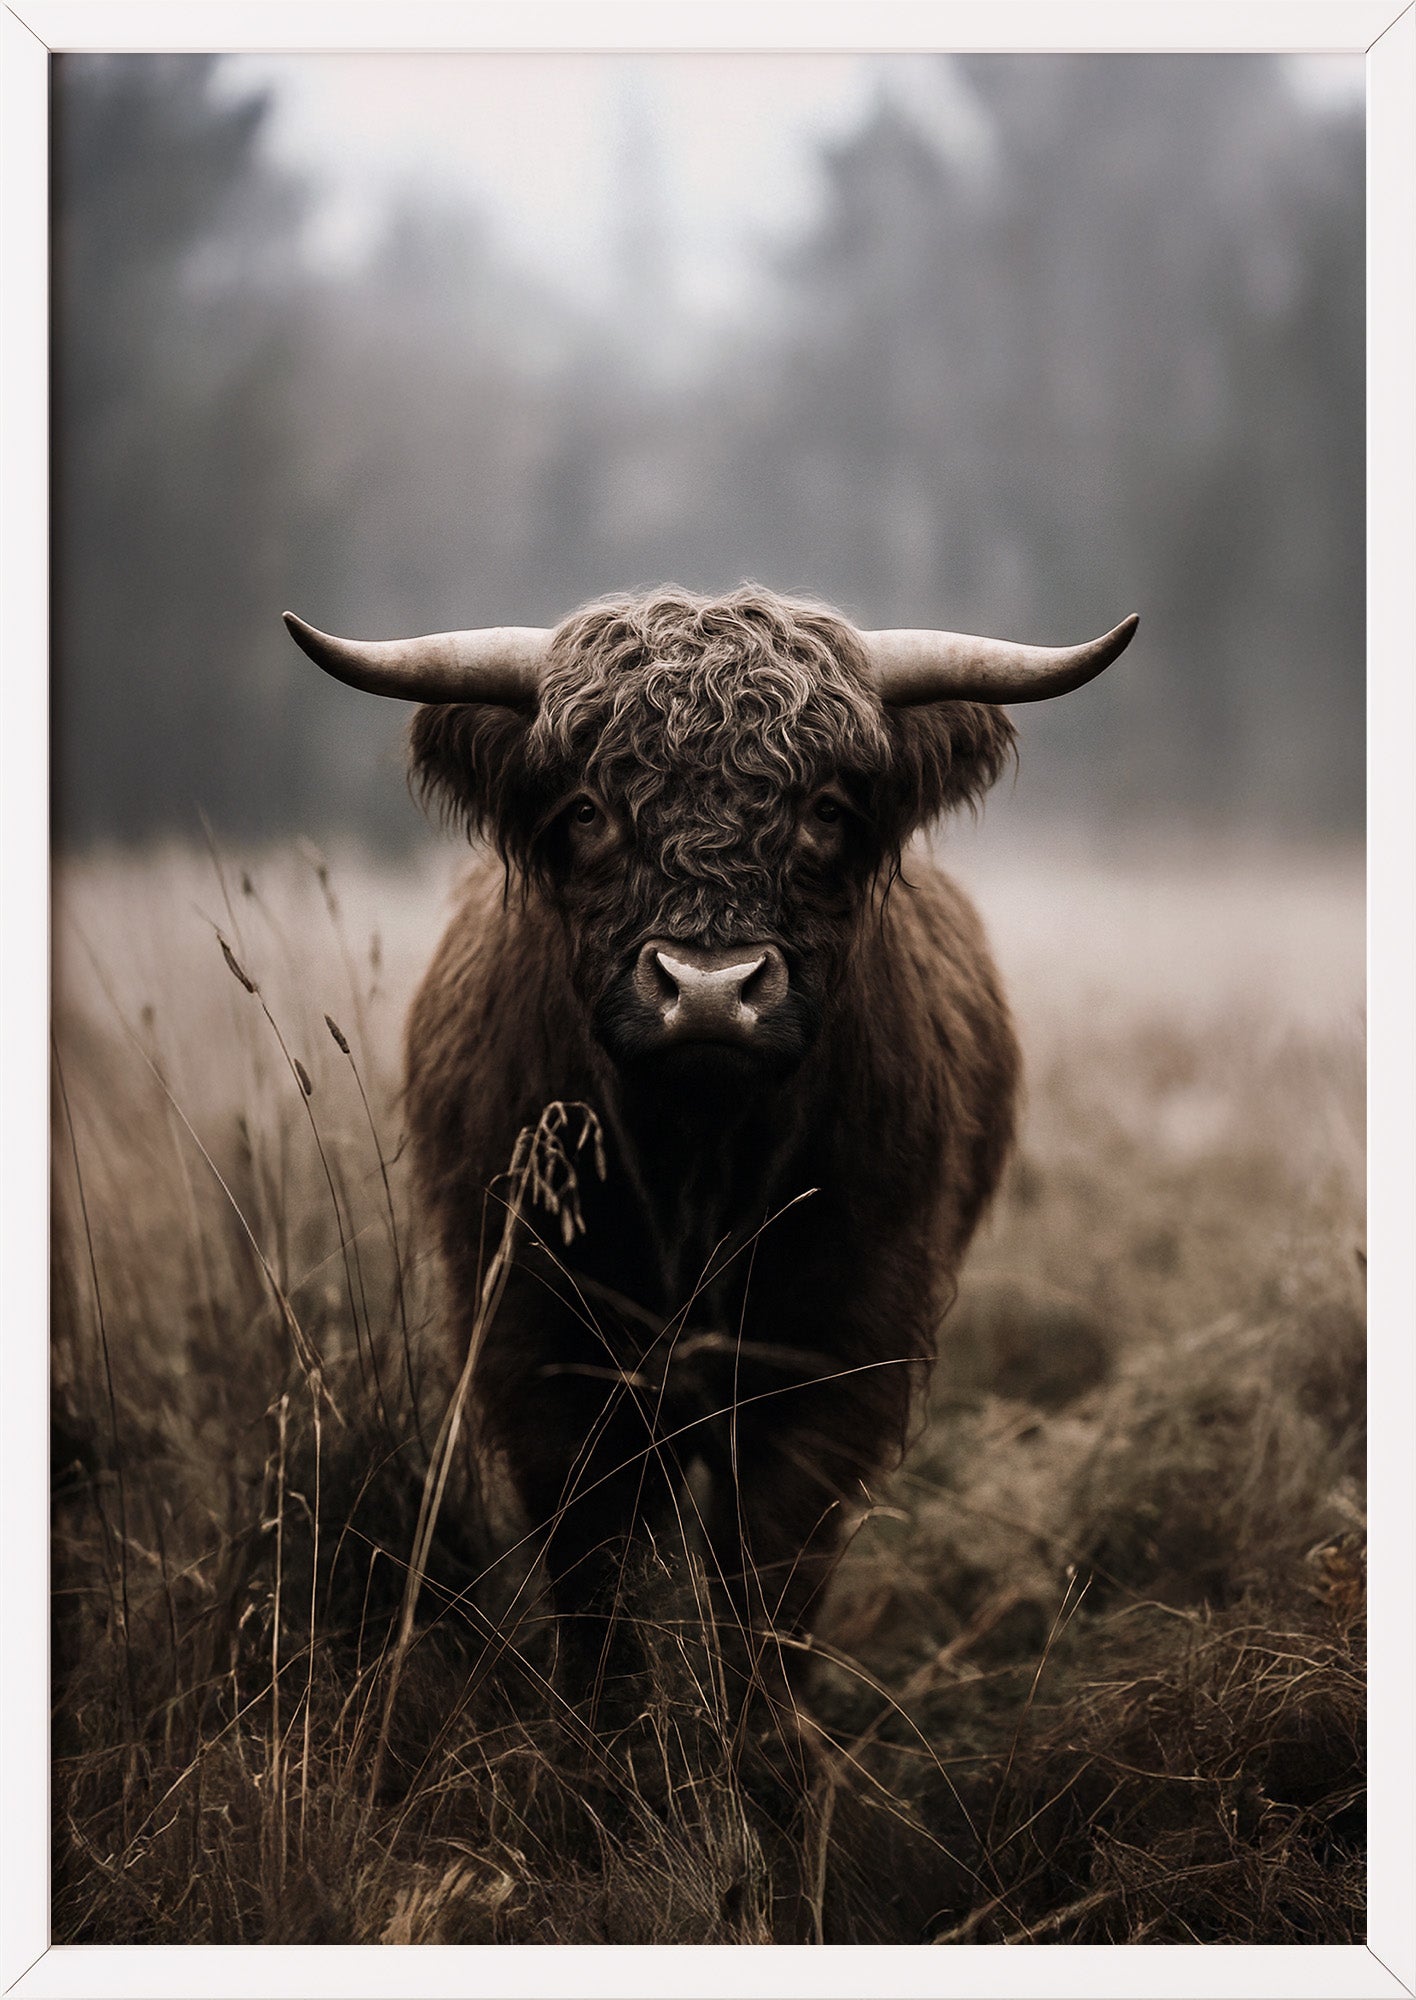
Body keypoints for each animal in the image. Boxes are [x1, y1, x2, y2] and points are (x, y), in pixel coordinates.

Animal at [284, 585, 1136, 1721]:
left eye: (826, 809)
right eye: (589, 810)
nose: (708, 989)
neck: (693, 1159)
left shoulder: (830, 1358)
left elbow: (768, 1580)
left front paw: (763, 1750)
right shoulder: (536, 1351)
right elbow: (594, 1577)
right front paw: (599, 1744)